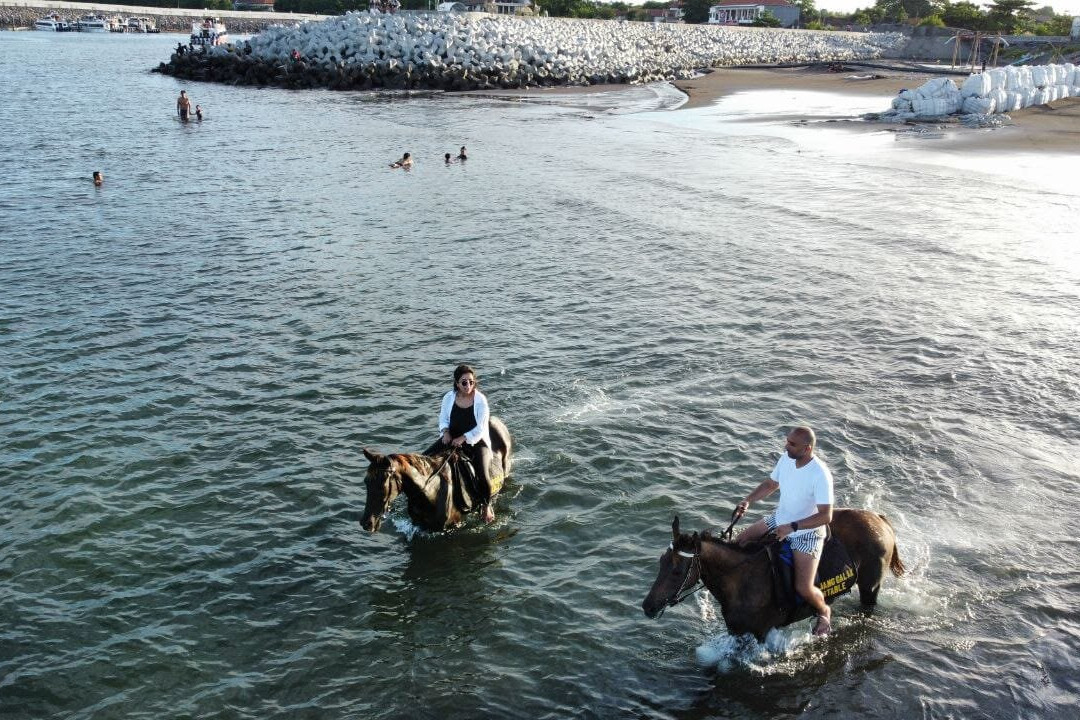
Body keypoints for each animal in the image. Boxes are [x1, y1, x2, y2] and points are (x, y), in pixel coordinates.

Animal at [641, 509, 905, 641]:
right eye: (661, 562)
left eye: (677, 571)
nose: (648, 606)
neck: (740, 579)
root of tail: (880, 520)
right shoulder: (736, 631)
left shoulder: (760, 633)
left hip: (870, 587)